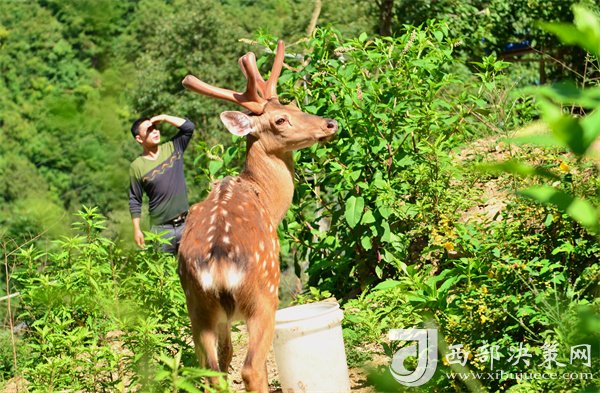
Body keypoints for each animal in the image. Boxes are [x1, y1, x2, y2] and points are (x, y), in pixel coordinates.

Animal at [177, 41, 338, 390]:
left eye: (293, 104)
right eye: (280, 120)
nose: (329, 124)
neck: (263, 197)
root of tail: (218, 264)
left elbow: (223, 357)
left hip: (197, 305)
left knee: (212, 370)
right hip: (263, 294)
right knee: (251, 368)